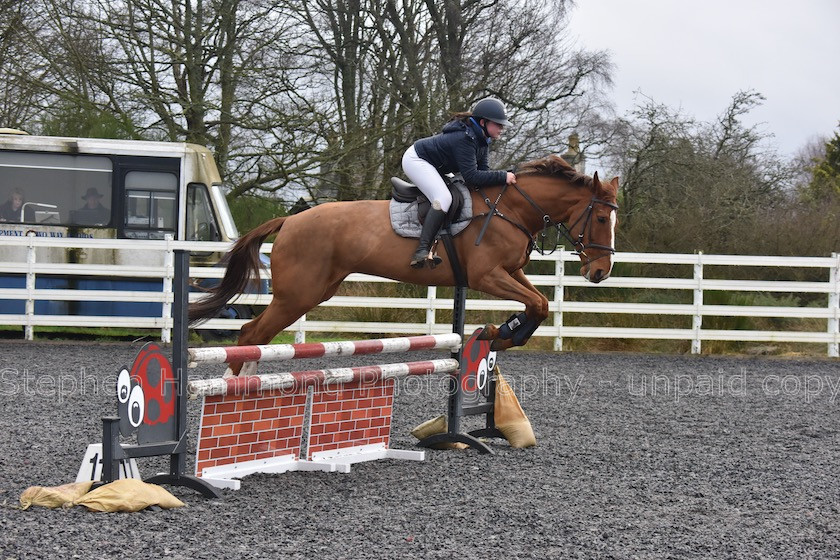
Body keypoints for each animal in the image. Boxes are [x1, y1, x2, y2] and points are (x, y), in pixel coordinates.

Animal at [194, 155, 620, 376]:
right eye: (601, 218)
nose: (600, 273)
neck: (511, 209)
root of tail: (290, 220)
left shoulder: (511, 272)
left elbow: (539, 304)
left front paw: (500, 334)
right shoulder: (487, 275)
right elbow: (538, 303)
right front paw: (501, 333)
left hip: (313, 292)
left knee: (258, 337)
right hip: (298, 294)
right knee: (250, 333)